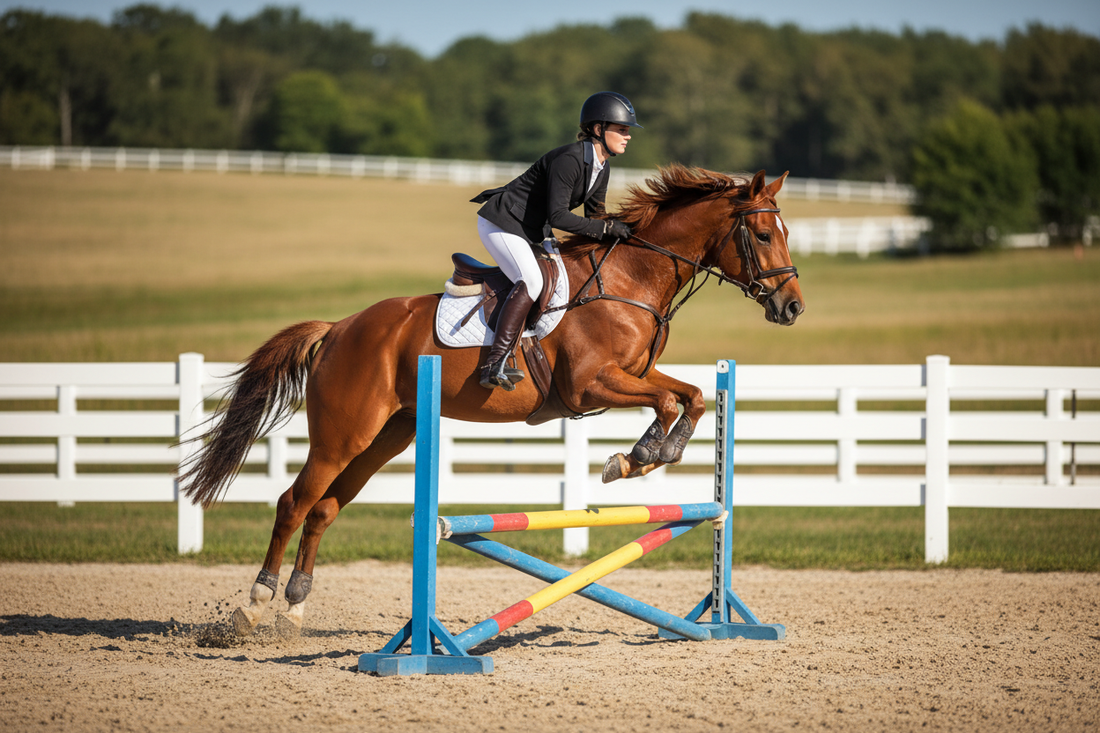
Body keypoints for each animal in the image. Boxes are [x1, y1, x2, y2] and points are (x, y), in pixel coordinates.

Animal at [179, 165, 804, 638]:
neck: (631, 278)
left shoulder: (635, 373)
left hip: (387, 435)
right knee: (294, 503)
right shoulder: (591, 385)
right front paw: (636, 457)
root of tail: (338, 328)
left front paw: (650, 455)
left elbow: (691, 396)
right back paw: (255, 605)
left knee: (324, 509)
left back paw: (296, 607)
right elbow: (671, 404)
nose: (793, 307)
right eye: (764, 235)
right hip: (342, 435)